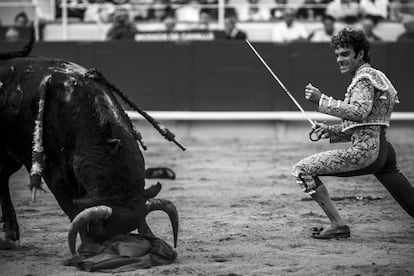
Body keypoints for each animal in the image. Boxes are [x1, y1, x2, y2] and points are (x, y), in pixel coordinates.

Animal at [0, 33, 178, 262]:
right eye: (103, 233)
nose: (119, 248)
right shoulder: (53, 174)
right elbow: (72, 208)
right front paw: (87, 246)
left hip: (10, 156)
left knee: (2, 177)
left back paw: (11, 233)